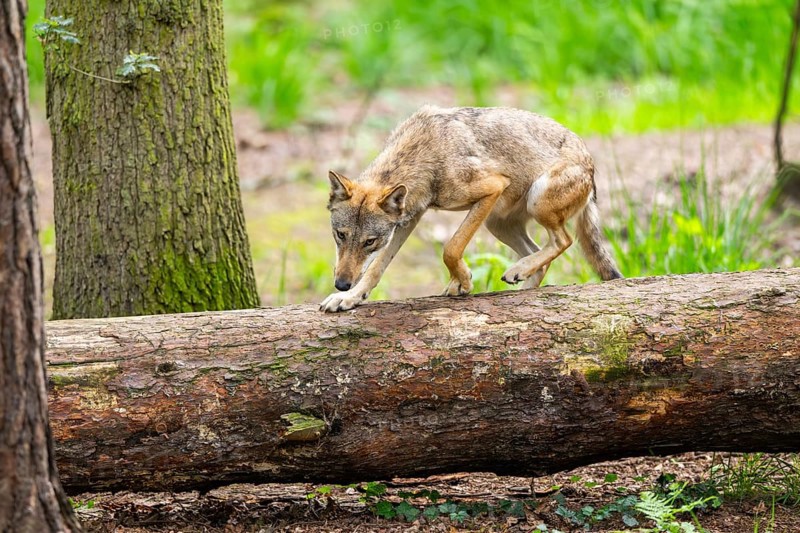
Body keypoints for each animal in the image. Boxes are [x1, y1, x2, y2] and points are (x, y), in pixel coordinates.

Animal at [320, 105, 622, 312]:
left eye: (369, 241)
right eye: (340, 235)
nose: (341, 284)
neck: (425, 153)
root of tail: (590, 162)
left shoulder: (492, 188)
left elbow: (451, 248)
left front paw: (463, 281)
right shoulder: (409, 219)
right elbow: (376, 269)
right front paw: (349, 298)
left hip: (535, 202)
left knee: (563, 241)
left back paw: (518, 271)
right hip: (497, 224)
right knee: (540, 254)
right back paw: (521, 283)